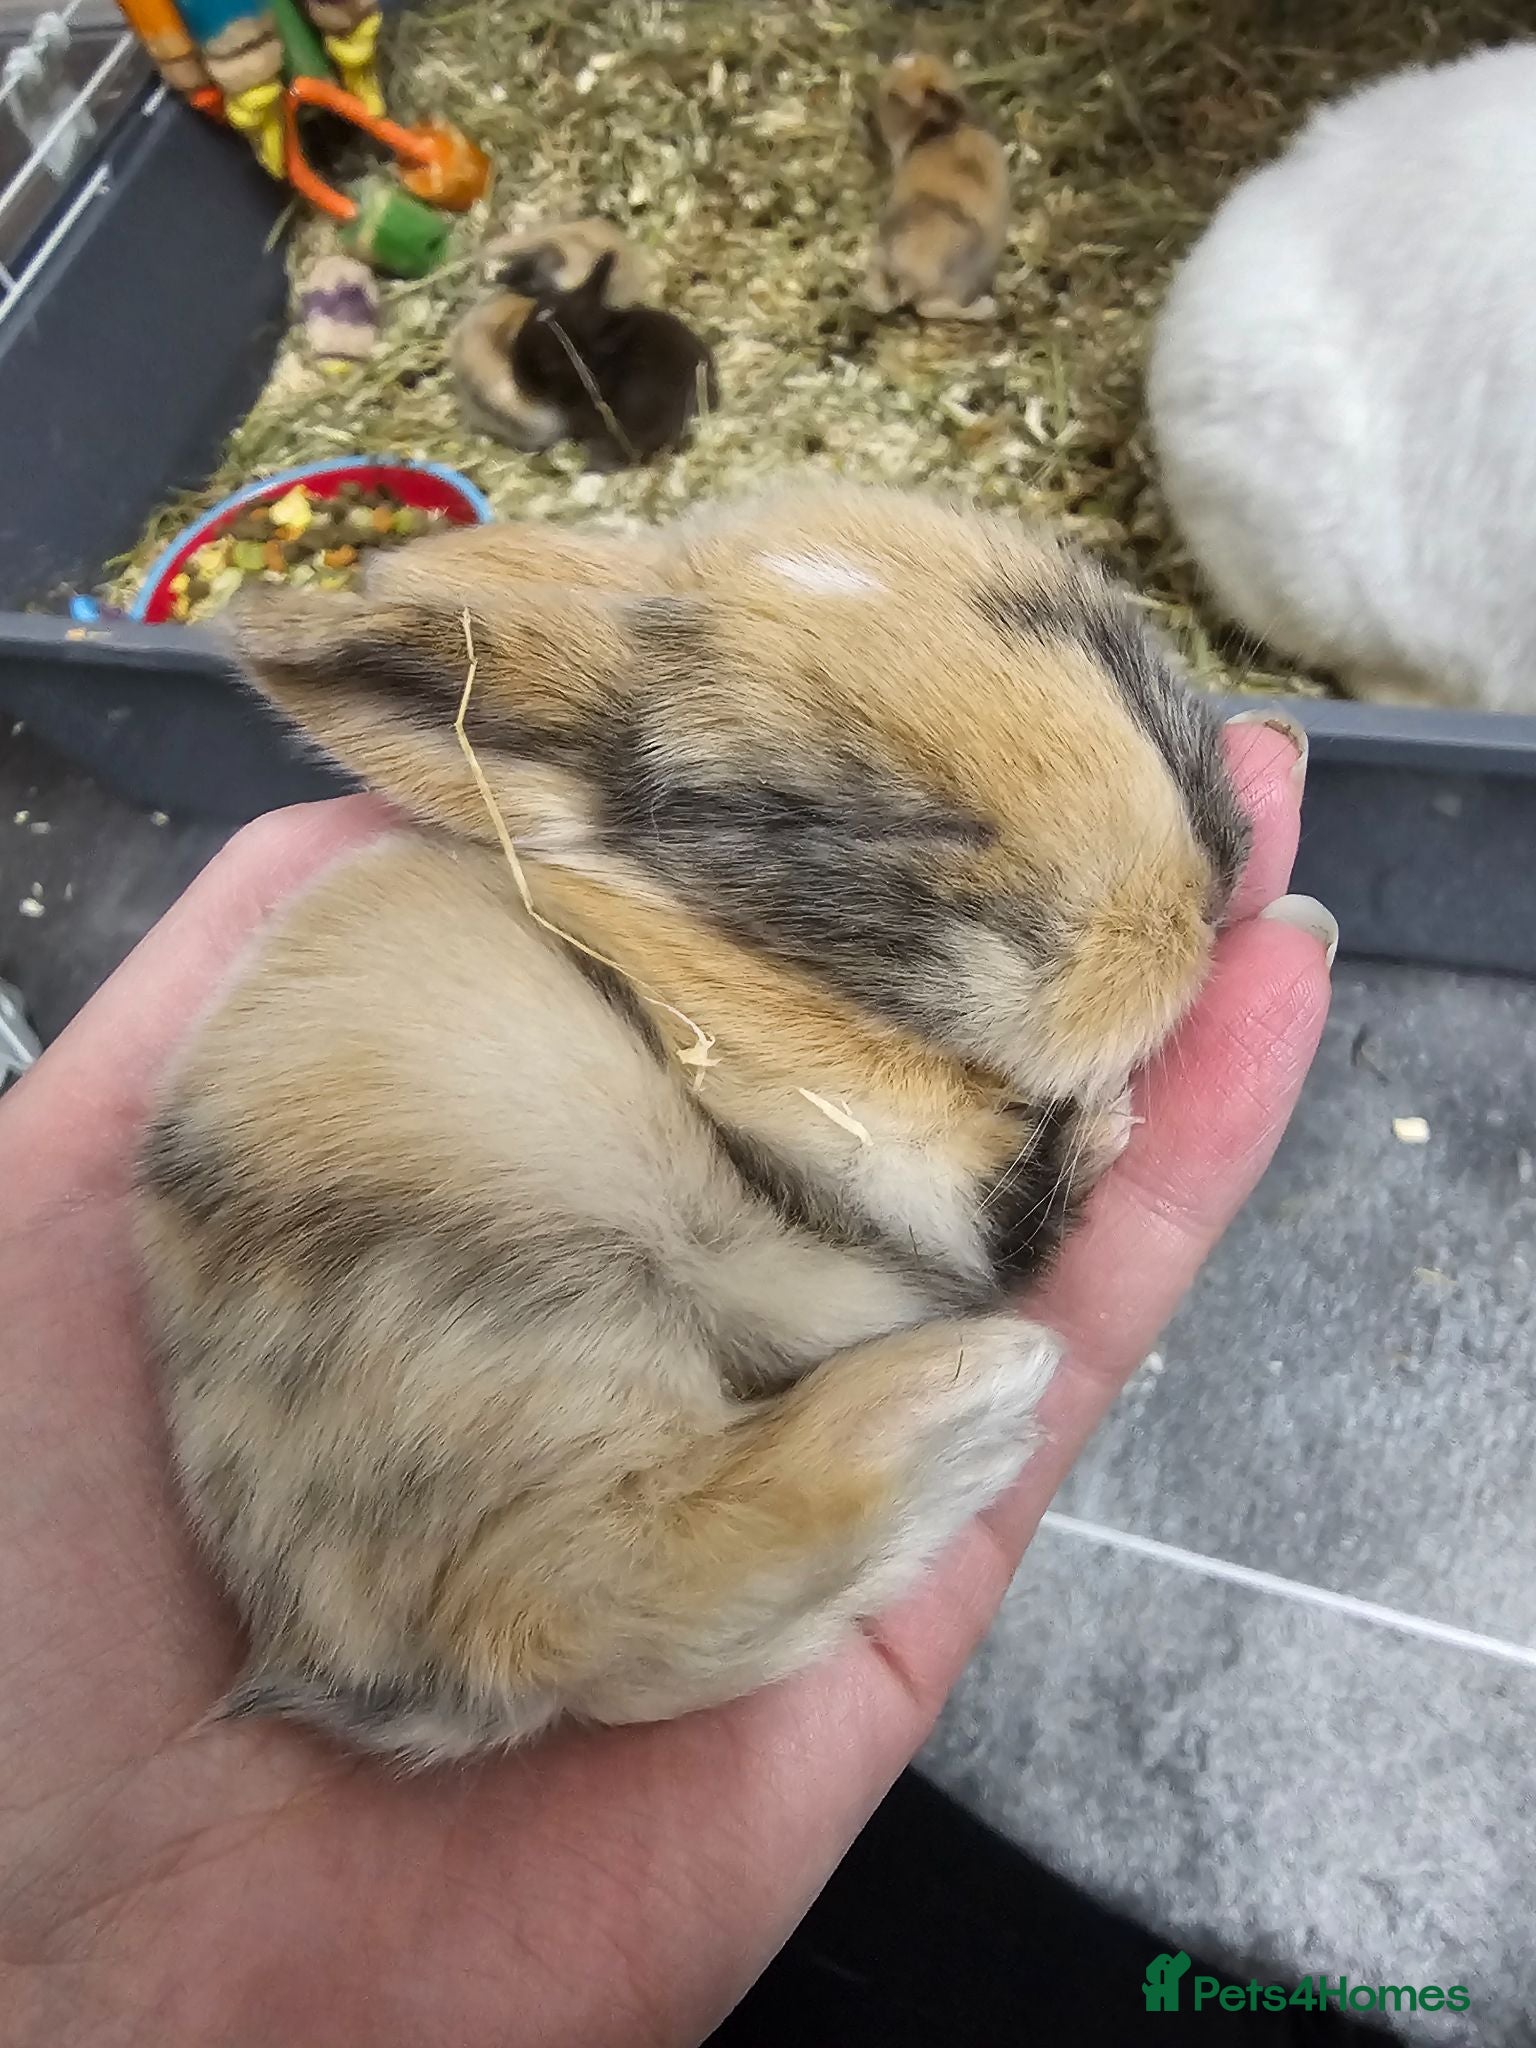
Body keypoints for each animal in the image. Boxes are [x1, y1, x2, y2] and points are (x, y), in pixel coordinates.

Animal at [136, 480, 1249, 1765]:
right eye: (823, 822)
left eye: (1097, 640)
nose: (1193, 903)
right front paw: (1107, 1121)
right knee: (582, 1585)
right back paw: (972, 1398)